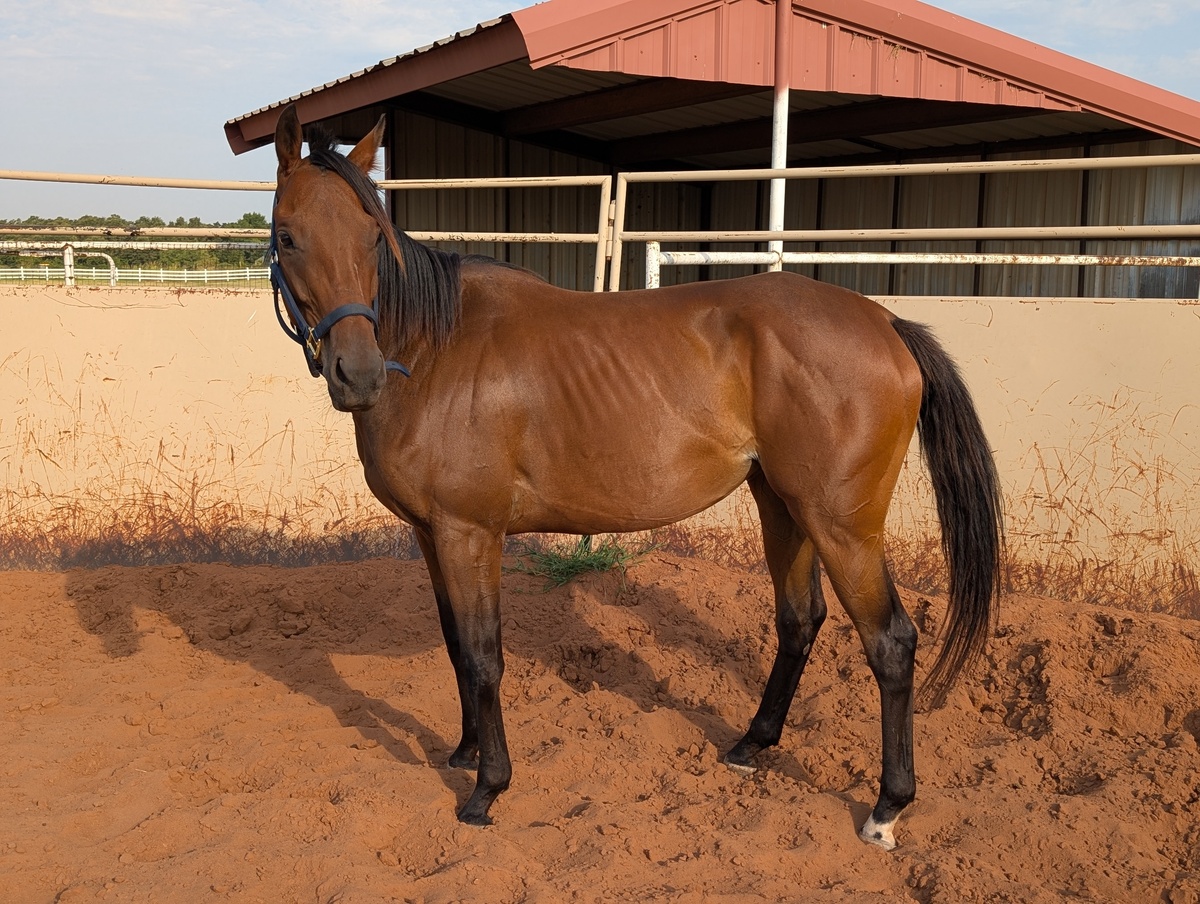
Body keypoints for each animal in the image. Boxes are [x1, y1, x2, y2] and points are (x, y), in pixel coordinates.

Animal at [267, 103, 1002, 850]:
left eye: (371, 235)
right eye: (287, 235)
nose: (357, 374)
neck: (435, 350)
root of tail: (885, 319)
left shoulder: (469, 533)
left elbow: (482, 655)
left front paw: (487, 788)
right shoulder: (430, 535)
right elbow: (454, 646)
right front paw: (466, 752)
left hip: (840, 525)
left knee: (890, 643)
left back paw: (886, 806)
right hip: (784, 505)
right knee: (800, 619)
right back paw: (750, 745)